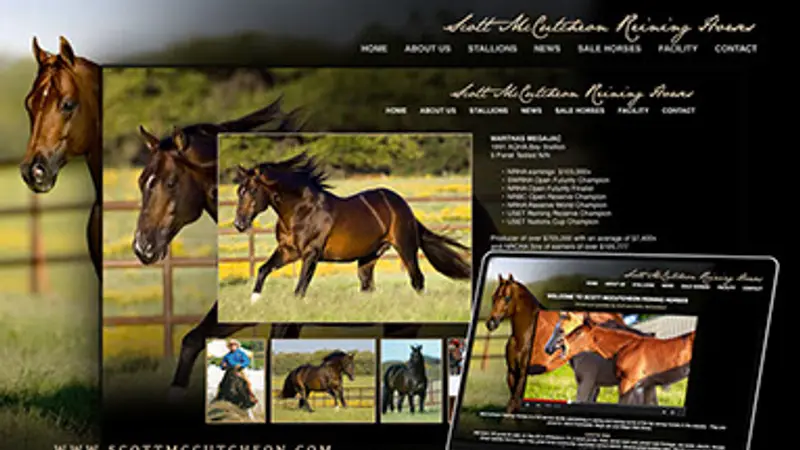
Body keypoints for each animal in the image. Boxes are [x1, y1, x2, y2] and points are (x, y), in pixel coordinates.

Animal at [233, 153, 471, 301]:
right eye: (239, 191)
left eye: (252, 191)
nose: (239, 224)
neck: (301, 211)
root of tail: (403, 206)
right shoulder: (288, 251)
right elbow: (263, 270)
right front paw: (254, 301)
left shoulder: (311, 253)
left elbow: (300, 288)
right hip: (368, 257)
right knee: (367, 286)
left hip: (405, 247)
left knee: (417, 279)